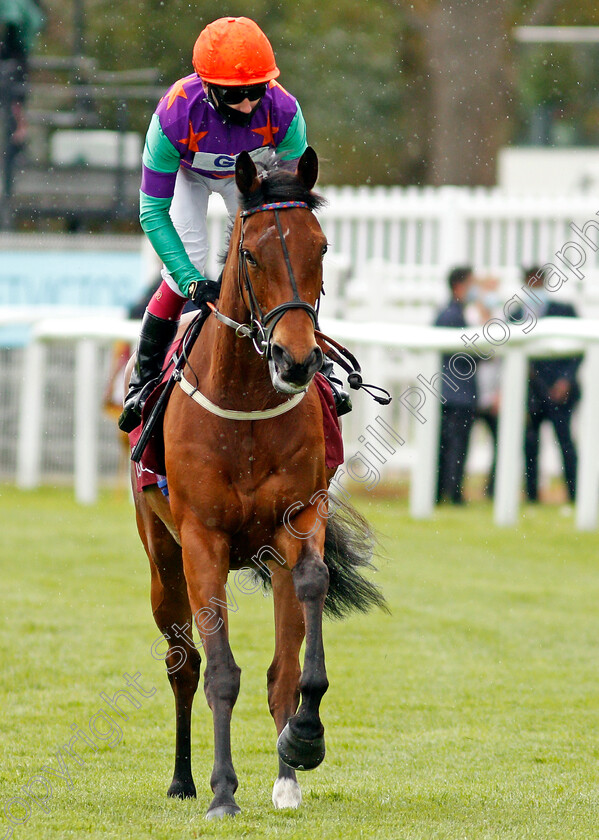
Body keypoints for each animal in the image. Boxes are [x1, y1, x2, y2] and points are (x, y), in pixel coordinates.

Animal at [132, 148, 386, 816]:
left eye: (321, 247)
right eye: (249, 254)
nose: (296, 360)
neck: (245, 402)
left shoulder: (298, 519)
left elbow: (302, 635)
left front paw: (303, 742)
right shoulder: (203, 541)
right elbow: (220, 671)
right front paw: (222, 791)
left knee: (279, 668)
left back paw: (285, 774)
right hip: (161, 558)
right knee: (183, 663)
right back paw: (184, 779)